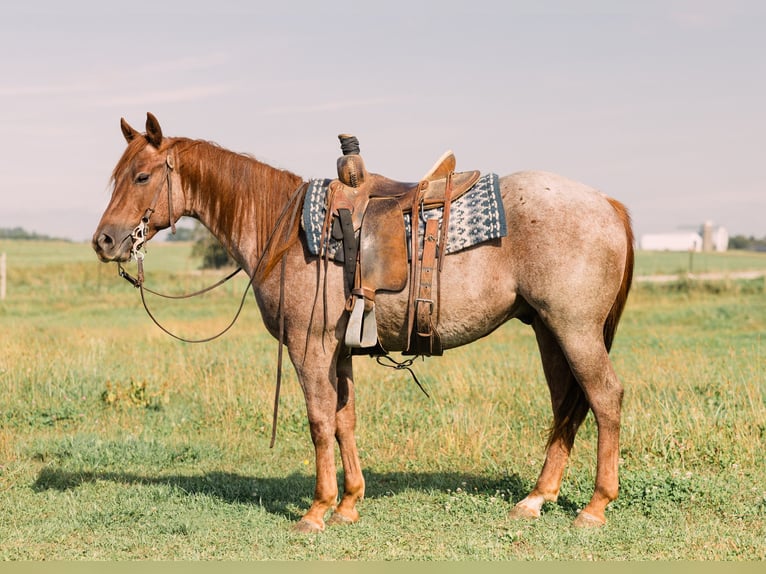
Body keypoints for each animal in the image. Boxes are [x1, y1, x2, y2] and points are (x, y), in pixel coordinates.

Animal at [92, 113, 634, 532]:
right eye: (118, 177)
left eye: (142, 177)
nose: (104, 241)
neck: (284, 231)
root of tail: (607, 202)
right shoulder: (340, 350)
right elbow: (343, 419)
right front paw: (349, 503)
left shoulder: (307, 346)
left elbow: (318, 420)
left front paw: (317, 510)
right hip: (548, 331)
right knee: (567, 404)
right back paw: (536, 499)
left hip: (574, 330)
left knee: (604, 398)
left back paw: (595, 507)